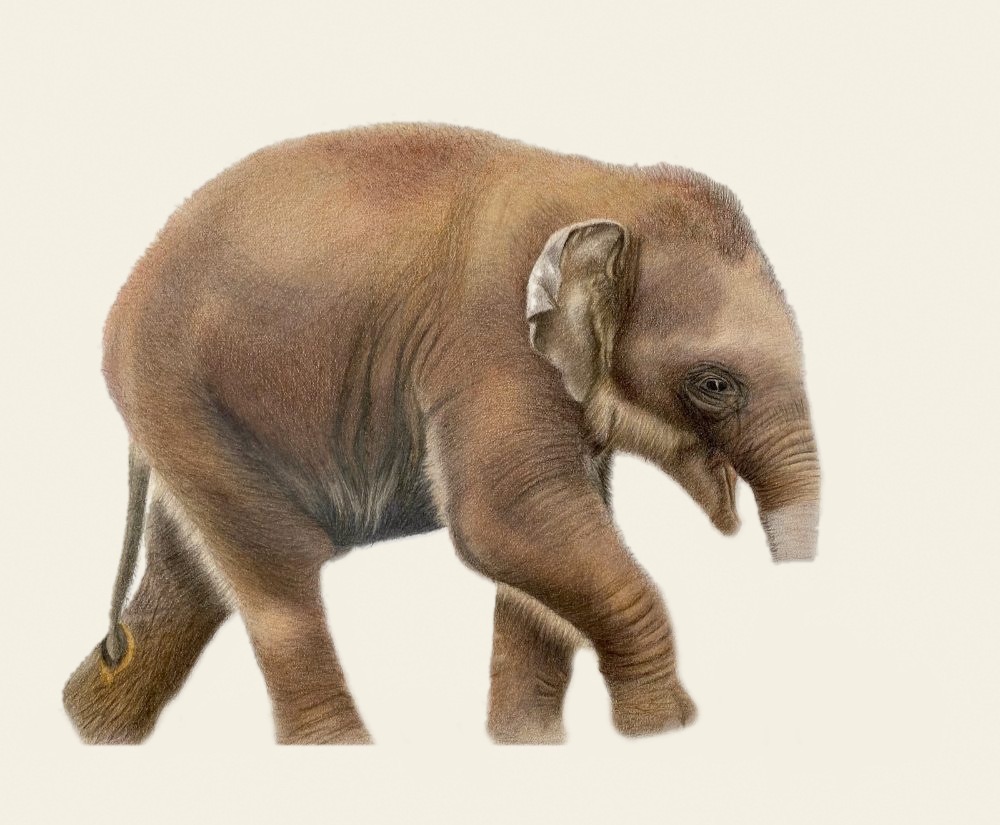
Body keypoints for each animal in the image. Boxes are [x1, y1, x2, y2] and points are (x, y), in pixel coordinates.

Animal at [63, 123, 820, 744]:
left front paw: (528, 742)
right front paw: (662, 728)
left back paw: (88, 723)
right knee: (278, 564)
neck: (606, 187)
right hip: (171, 386)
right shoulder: (489, 342)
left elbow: (547, 546)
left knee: (190, 577)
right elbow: (506, 519)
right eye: (714, 384)